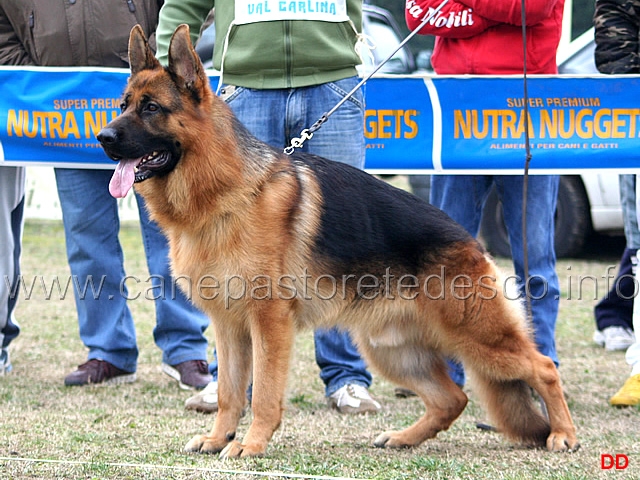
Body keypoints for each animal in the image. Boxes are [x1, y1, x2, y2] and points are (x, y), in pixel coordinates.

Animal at [96, 25, 580, 458]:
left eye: (151, 108)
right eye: (123, 105)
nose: (102, 137)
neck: (227, 191)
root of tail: (472, 242)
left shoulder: (269, 323)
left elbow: (263, 394)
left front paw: (250, 445)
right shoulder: (229, 326)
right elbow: (230, 393)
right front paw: (218, 439)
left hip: (478, 338)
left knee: (543, 368)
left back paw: (564, 434)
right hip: (390, 350)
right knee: (452, 399)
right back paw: (404, 438)